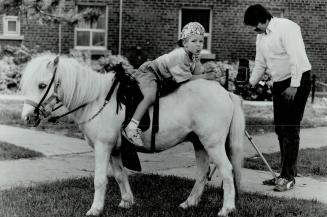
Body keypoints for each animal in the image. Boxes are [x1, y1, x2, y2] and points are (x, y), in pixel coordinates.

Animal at [20, 53, 245, 217]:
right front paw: (127, 201)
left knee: (227, 170)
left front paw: (95, 209)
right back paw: (189, 203)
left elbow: (100, 179)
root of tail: (226, 93)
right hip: (199, 143)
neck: (96, 99)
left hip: (213, 143)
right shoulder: (115, 149)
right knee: (202, 173)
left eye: (42, 85)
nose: (27, 117)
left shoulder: (103, 147)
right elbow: (120, 175)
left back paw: (226, 209)